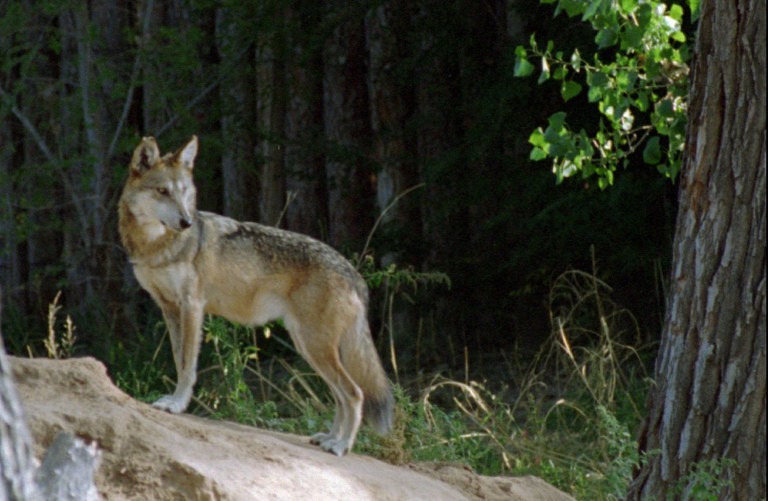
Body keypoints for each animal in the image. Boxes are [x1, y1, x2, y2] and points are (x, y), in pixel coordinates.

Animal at [118, 135, 393, 456]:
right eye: (162, 191)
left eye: (184, 192)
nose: (187, 222)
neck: (156, 247)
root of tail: (354, 274)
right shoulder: (170, 309)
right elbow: (179, 359)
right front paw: (174, 400)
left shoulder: (192, 307)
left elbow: (187, 366)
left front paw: (176, 404)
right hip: (309, 347)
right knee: (340, 395)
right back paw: (328, 438)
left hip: (316, 347)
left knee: (355, 393)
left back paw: (341, 446)